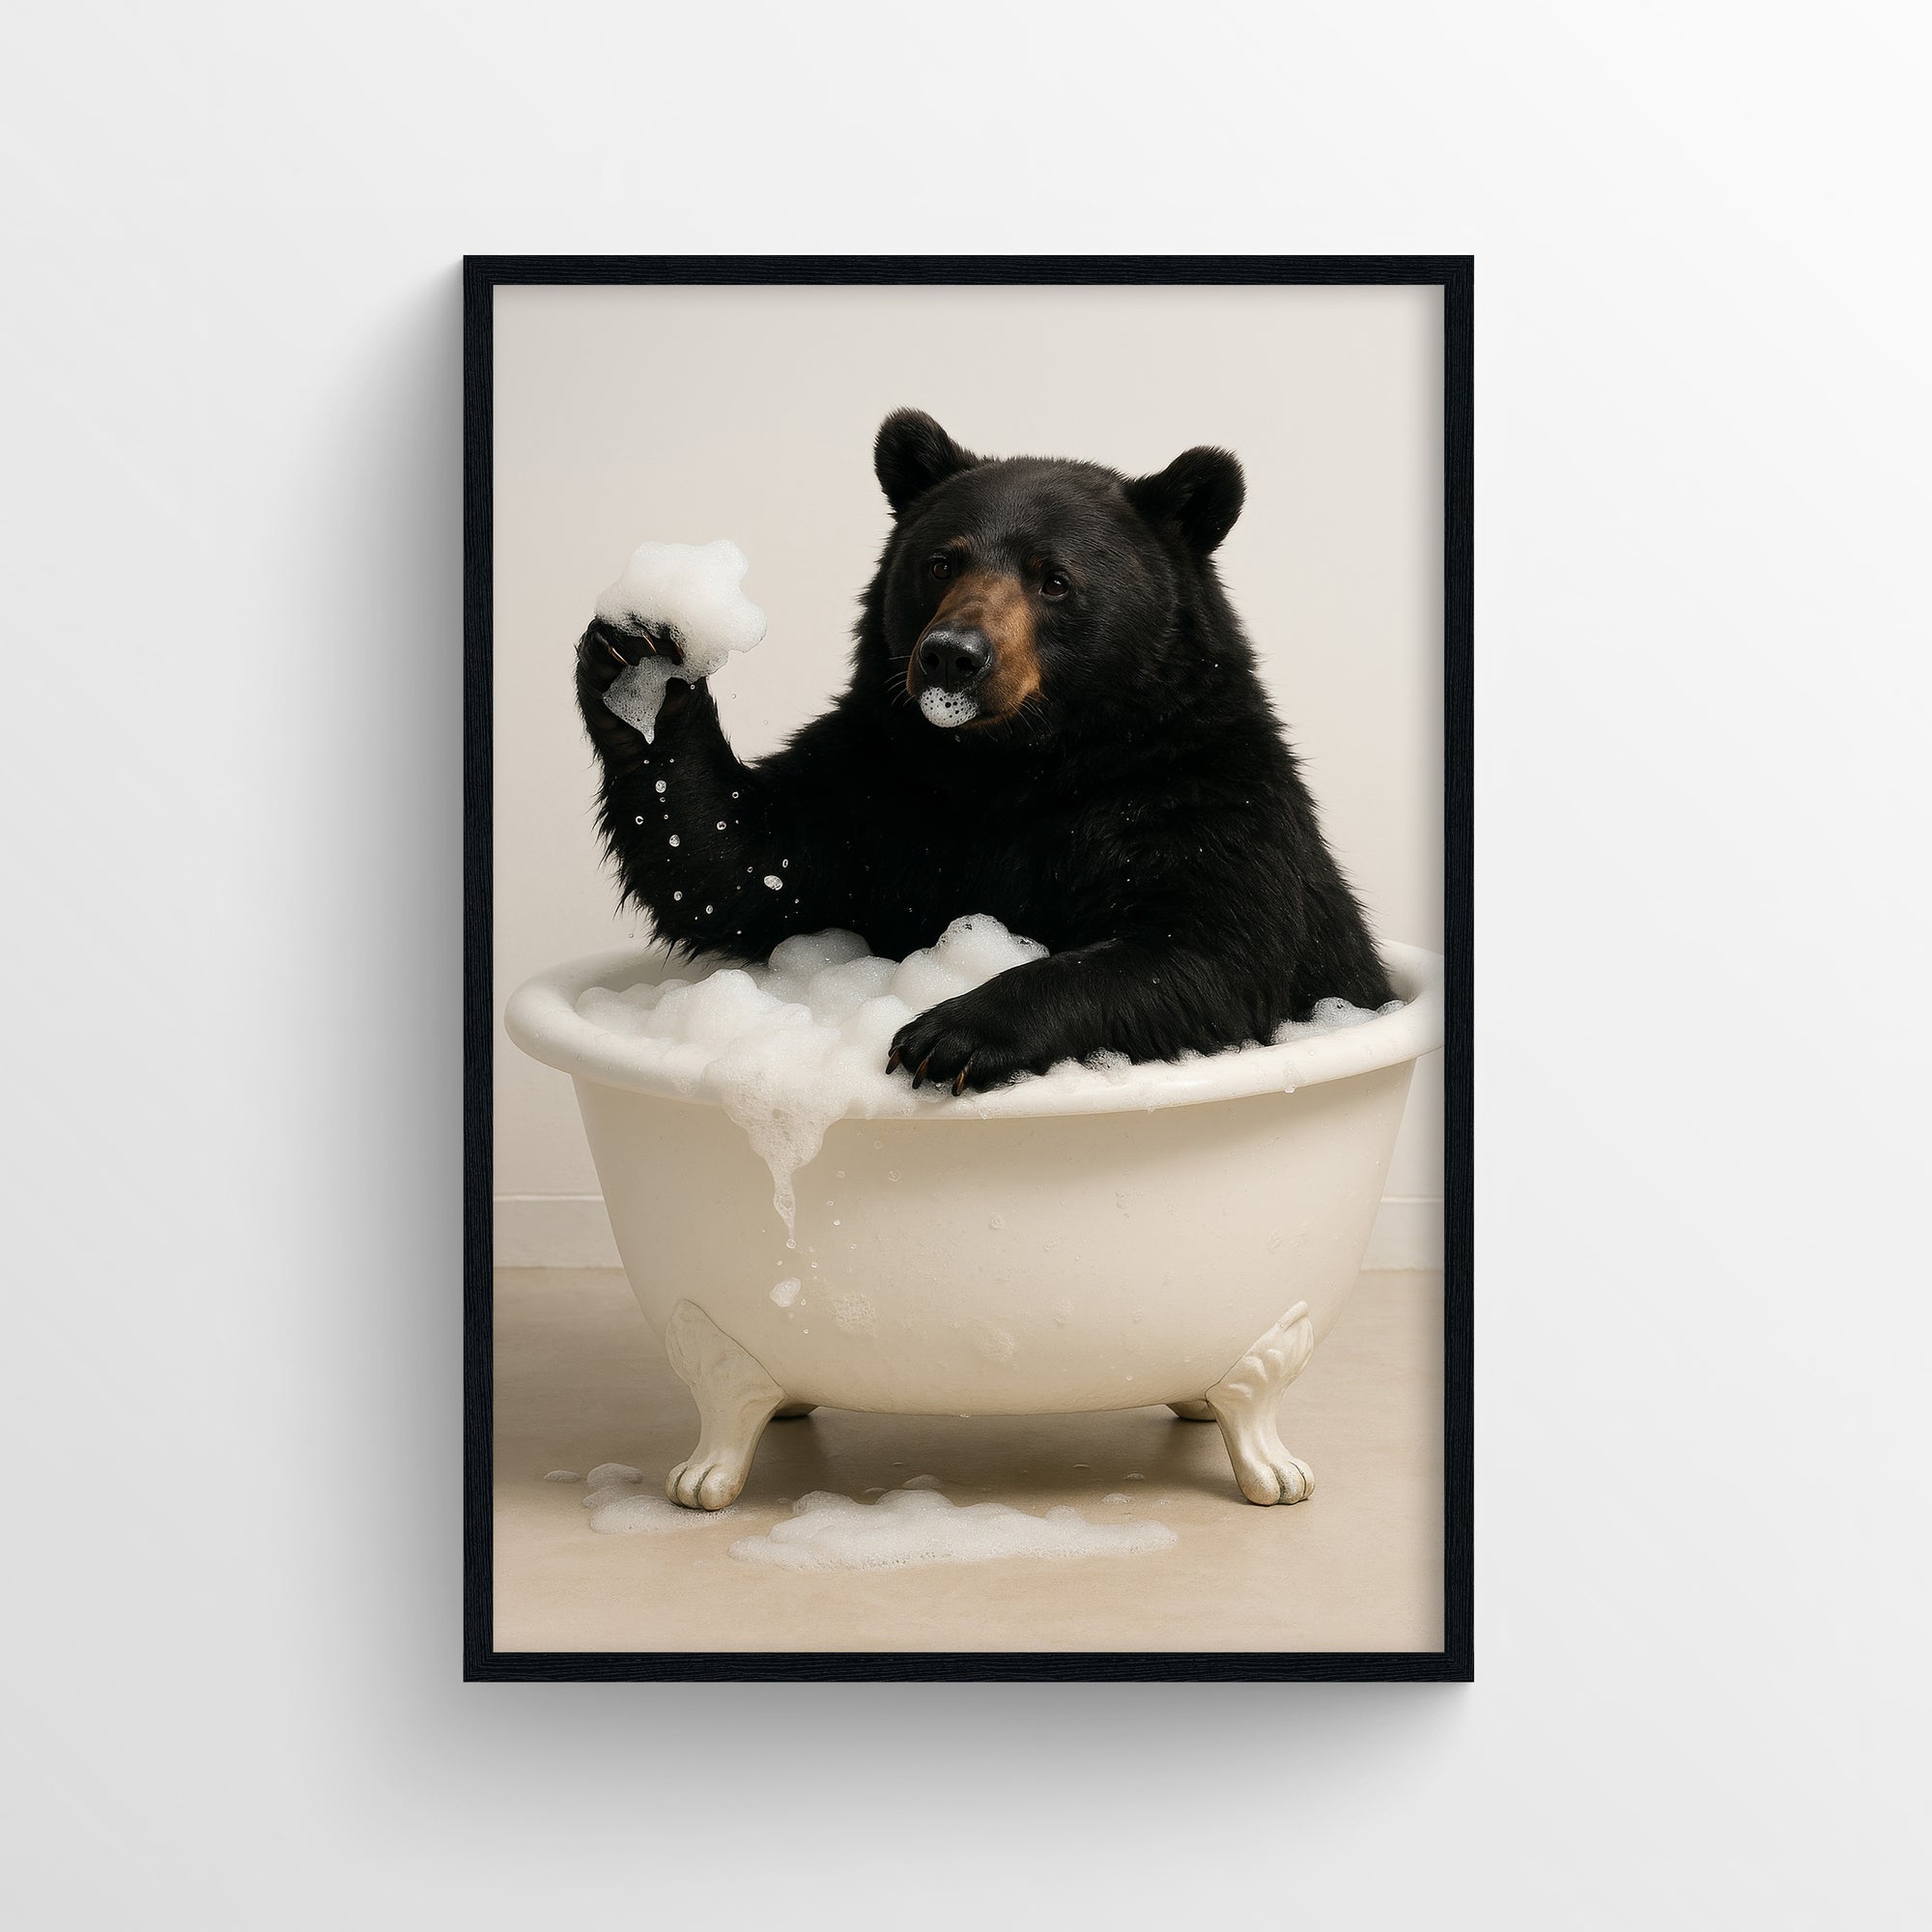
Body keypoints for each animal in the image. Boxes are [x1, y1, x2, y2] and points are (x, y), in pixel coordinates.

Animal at [574, 408, 1394, 1094]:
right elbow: (747, 867)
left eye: (1055, 579)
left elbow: (1209, 952)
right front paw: (638, 669)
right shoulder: (879, 779)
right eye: (941, 562)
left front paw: (949, 1034)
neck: (1012, 764)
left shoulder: (1201, 793)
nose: (952, 656)